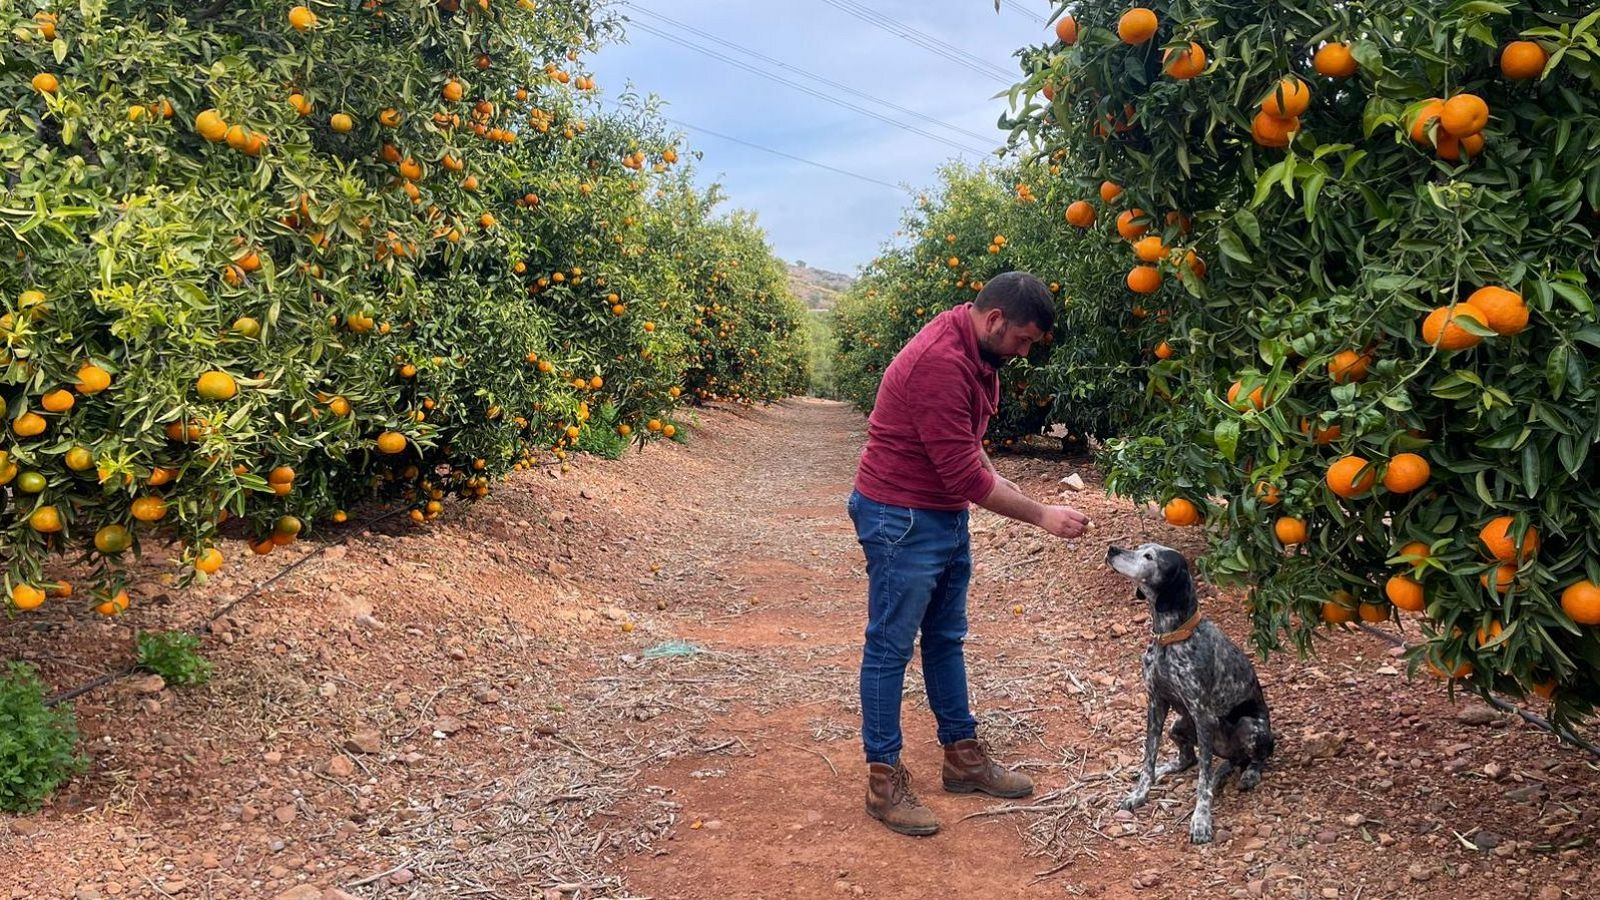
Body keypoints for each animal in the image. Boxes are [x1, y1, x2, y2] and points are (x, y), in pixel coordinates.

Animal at [1100, 538, 1273, 839]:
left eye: (1149, 556)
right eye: (1141, 547)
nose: (1112, 549)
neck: (1171, 638)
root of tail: (1230, 755)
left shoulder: (1203, 716)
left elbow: (1204, 781)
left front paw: (1201, 819)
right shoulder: (1156, 704)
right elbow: (1149, 758)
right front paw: (1139, 793)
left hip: (1250, 726)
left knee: (1254, 758)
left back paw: (1250, 773)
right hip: (1178, 724)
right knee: (1188, 758)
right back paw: (1167, 767)